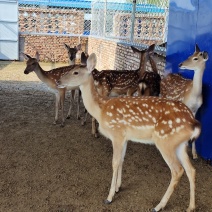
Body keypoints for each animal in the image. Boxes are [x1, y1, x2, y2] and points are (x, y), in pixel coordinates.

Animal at [57, 53, 201, 212]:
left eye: (75, 72)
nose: (58, 81)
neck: (101, 110)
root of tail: (193, 122)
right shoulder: (125, 137)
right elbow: (122, 160)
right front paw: (118, 187)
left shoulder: (116, 133)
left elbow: (114, 162)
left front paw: (109, 197)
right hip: (180, 144)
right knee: (191, 170)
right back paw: (191, 206)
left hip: (165, 141)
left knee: (177, 170)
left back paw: (159, 206)